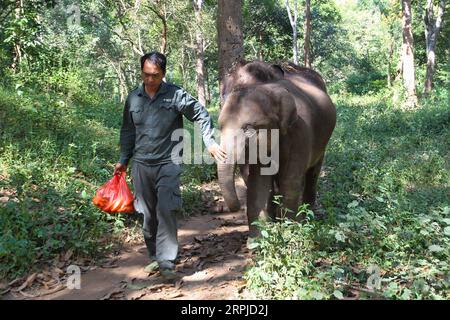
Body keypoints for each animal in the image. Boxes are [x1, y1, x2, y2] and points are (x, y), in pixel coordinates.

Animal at [216, 60, 336, 240]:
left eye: (248, 128)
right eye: (220, 127)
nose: (234, 208)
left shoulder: (300, 132)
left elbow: (289, 180)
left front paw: (290, 233)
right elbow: (258, 183)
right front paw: (257, 239)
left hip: (322, 143)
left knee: (312, 174)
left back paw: (308, 217)